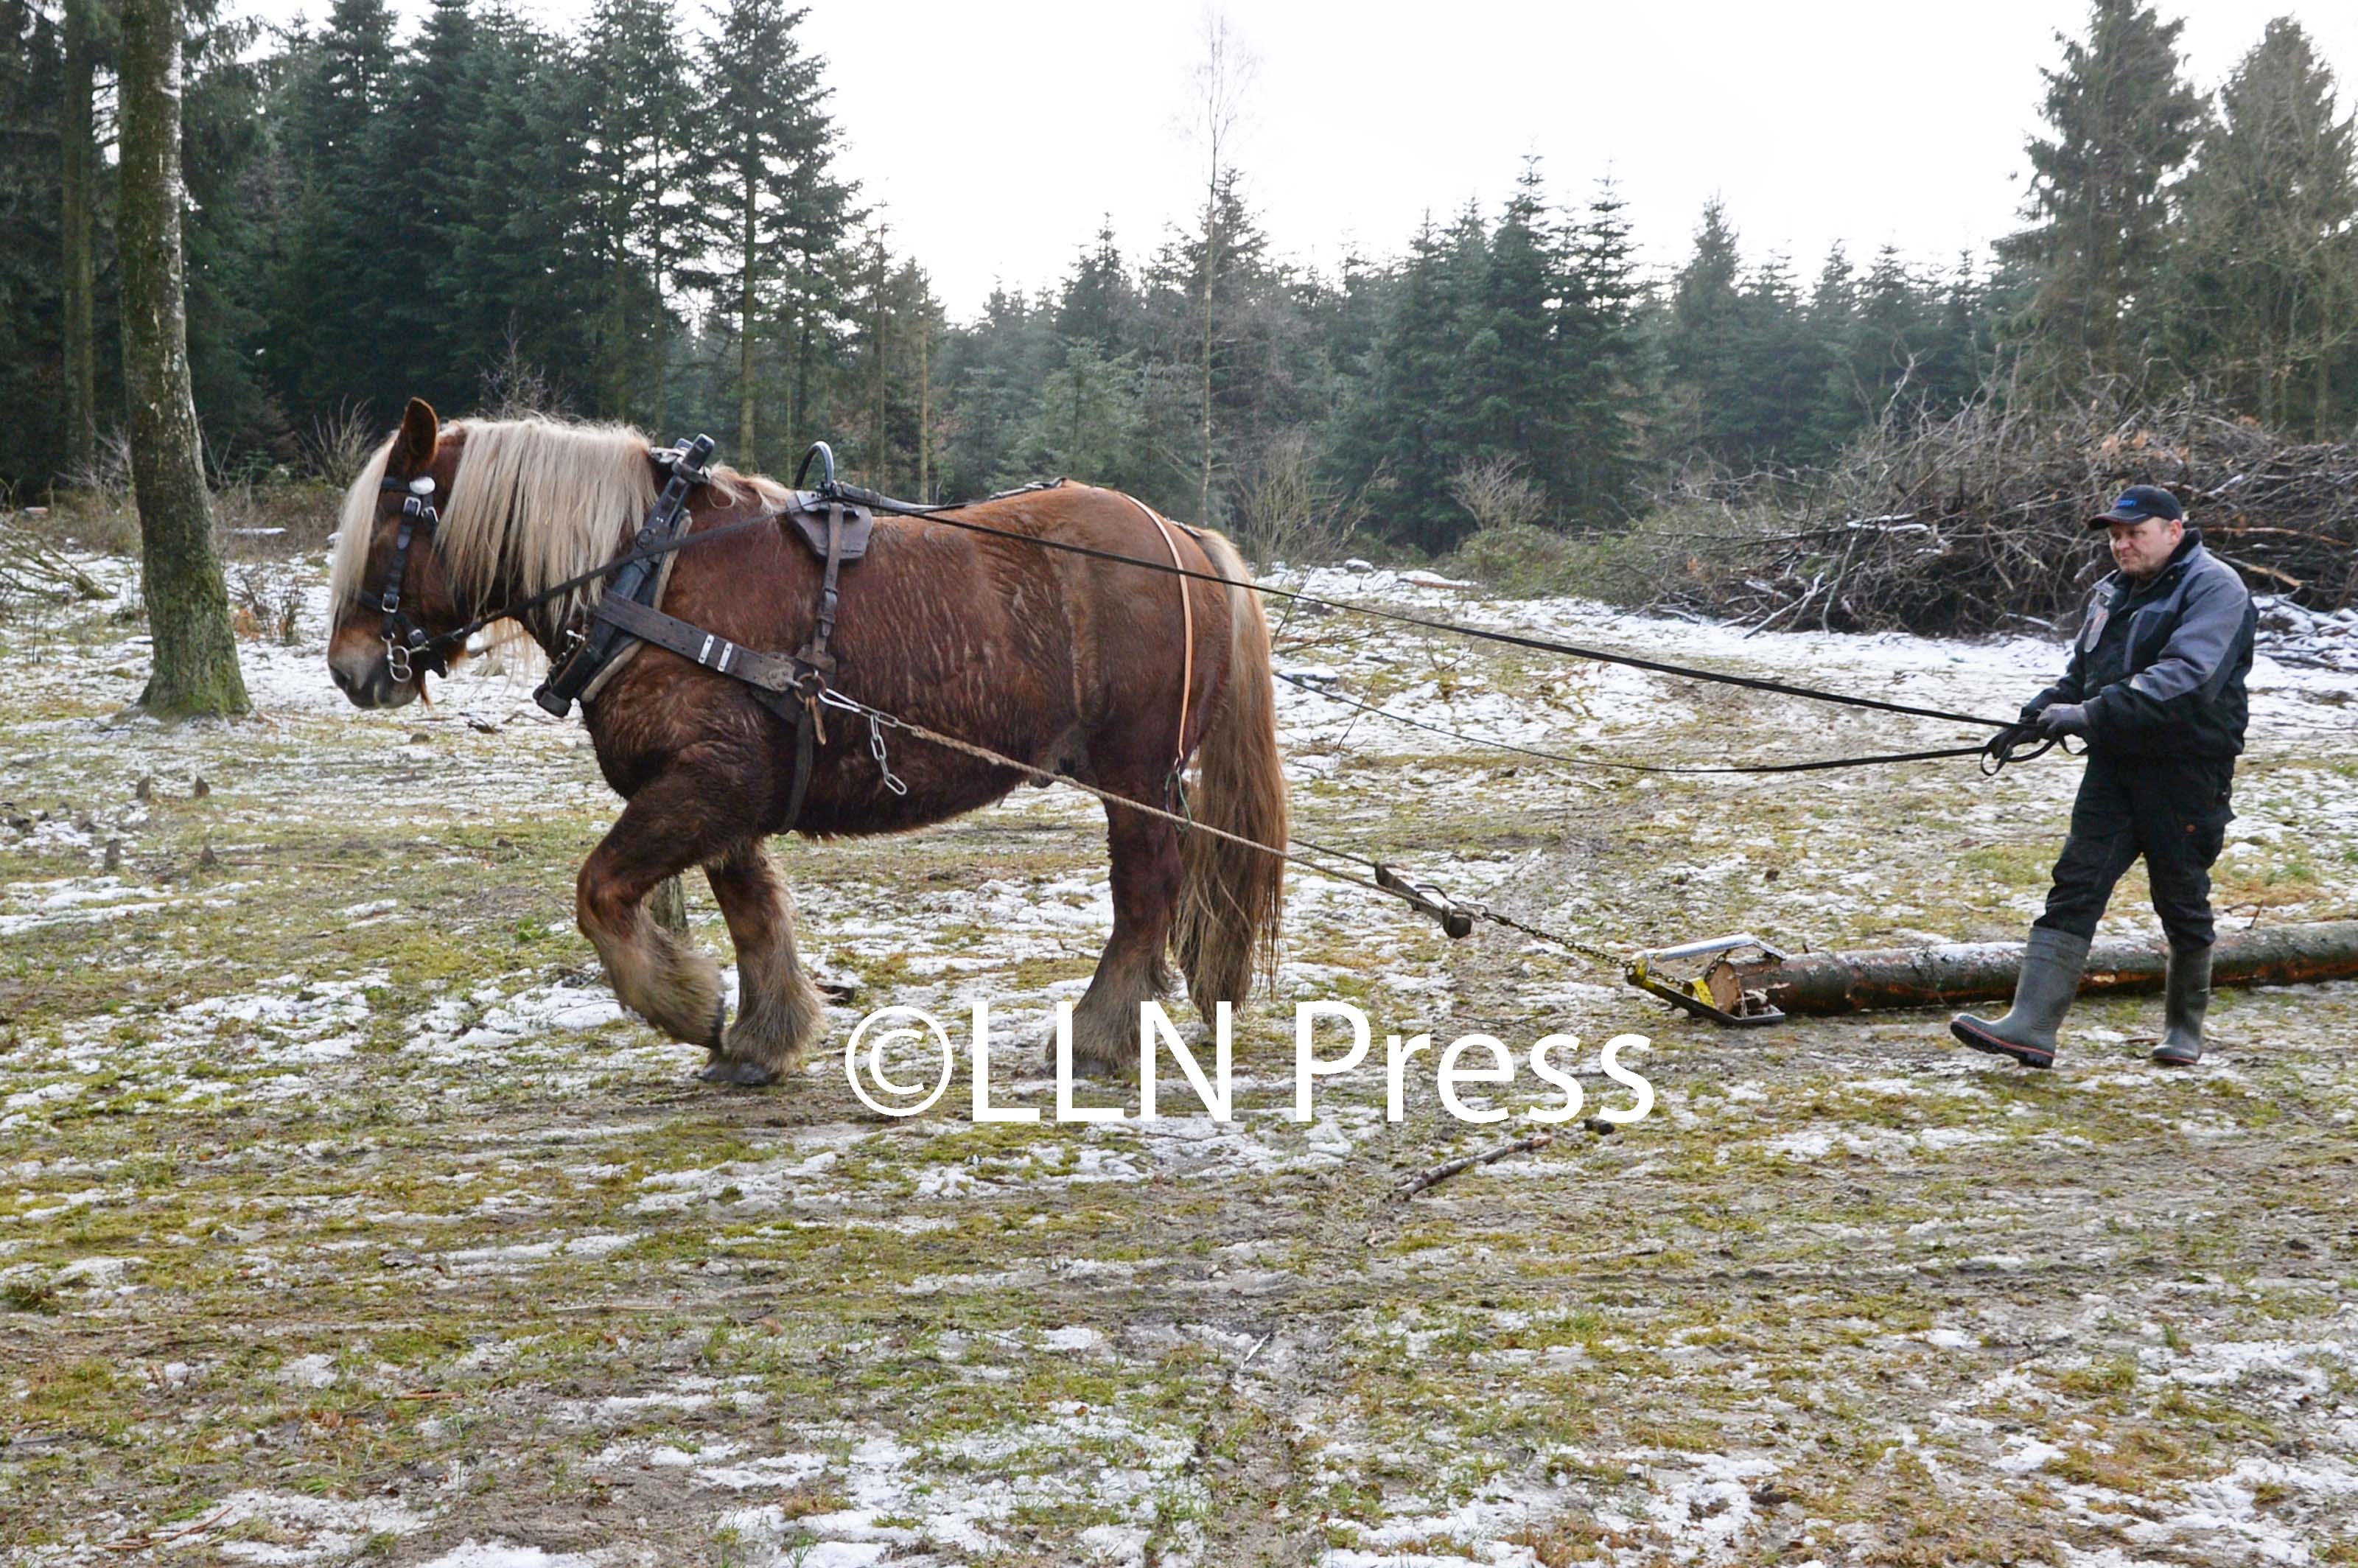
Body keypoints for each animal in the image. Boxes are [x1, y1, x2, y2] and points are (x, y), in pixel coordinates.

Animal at [327, 403, 1292, 1085]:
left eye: (391, 529)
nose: (350, 669)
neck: (651, 571)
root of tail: (1179, 536)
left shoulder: (708, 781)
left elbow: (599, 892)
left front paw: (683, 1003)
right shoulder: (722, 793)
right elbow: (752, 911)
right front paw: (761, 1036)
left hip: (1133, 770)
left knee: (1146, 891)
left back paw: (1096, 1035)